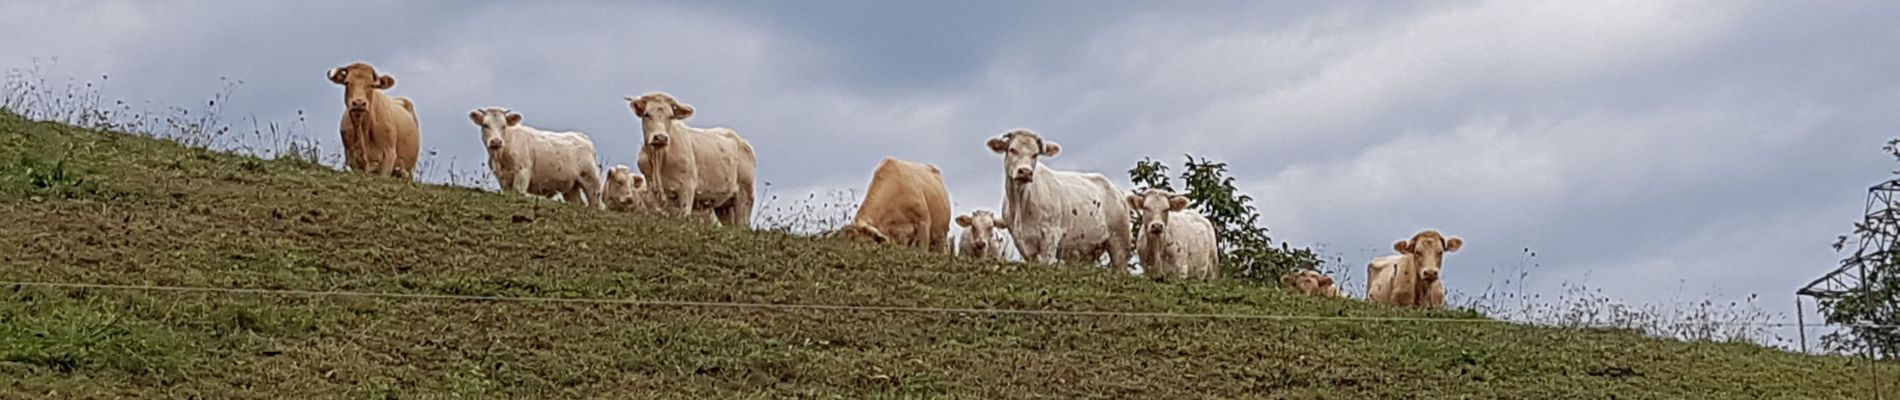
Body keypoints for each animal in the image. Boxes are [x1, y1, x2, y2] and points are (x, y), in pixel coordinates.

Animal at [465, 107, 600, 209]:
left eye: (504, 126)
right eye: (485, 125)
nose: (496, 141)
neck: (500, 157)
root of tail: (582, 137)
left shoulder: (522, 172)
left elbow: (518, 193)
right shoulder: (502, 178)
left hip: (591, 181)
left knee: (596, 204)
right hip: (571, 187)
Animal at [630, 91, 763, 226]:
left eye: (671, 116)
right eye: (647, 114)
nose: (661, 138)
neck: (659, 159)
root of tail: (742, 141)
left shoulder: (687, 187)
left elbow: (684, 216)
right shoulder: (652, 190)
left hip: (745, 195)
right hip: (725, 206)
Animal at [988, 129, 1132, 271]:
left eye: (1035, 154)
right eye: (1012, 149)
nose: (1025, 171)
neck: (1020, 204)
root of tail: (1117, 191)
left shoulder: (1050, 235)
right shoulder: (1022, 244)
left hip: (1120, 243)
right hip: (1088, 250)